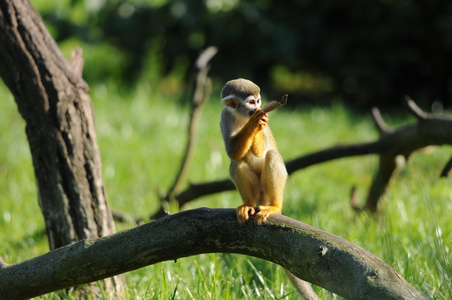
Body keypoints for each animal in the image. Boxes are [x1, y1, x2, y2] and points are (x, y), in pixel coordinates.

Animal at [221, 78, 288, 225]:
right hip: (258, 190)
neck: (242, 115)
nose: (257, 108)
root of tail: (261, 199)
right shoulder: (225, 115)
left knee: (272, 155)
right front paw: (254, 122)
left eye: (258, 101)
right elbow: (232, 152)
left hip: (265, 190)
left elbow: (260, 152)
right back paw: (248, 204)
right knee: (236, 162)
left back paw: (275, 206)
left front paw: (257, 121)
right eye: (251, 102)